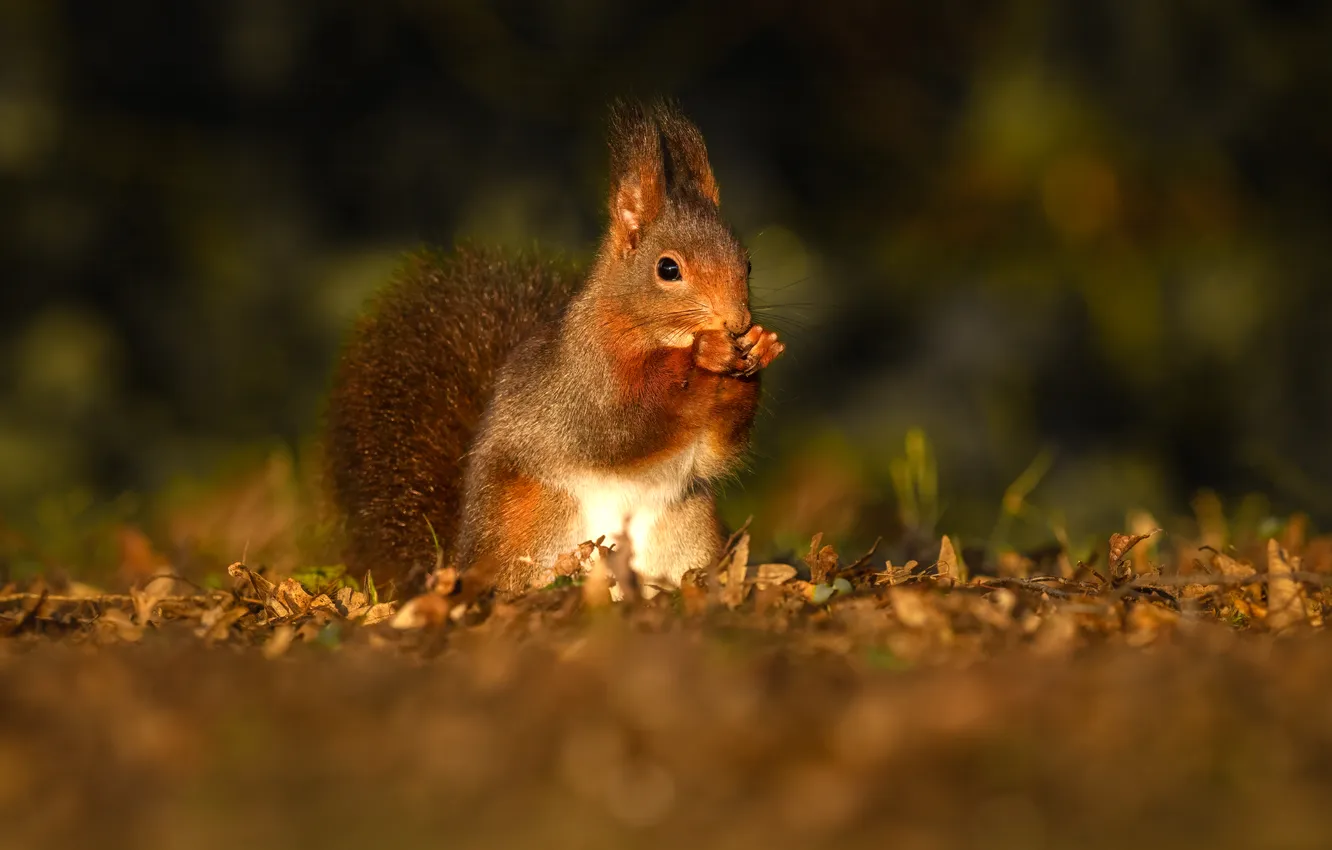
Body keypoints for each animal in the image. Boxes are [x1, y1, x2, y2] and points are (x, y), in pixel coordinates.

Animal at [323, 100, 784, 596]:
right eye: (667, 269)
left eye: (747, 264)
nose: (736, 322)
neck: (642, 334)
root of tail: (462, 560)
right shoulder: (582, 387)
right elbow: (623, 427)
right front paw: (703, 355)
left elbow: (716, 450)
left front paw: (759, 349)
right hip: (533, 520)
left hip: (687, 527)